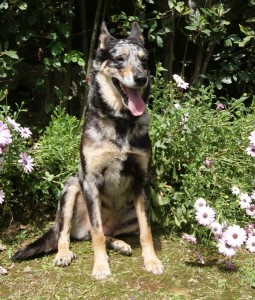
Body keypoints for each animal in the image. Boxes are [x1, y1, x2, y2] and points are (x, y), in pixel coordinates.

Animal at [11, 21, 163, 282]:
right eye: (119, 59)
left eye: (144, 60)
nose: (141, 78)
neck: (120, 121)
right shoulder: (90, 180)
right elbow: (98, 234)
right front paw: (101, 266)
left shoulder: (142, 181)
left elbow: (147, 231)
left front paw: (151, 260)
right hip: (72, 188)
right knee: (70, 233)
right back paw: (64, 254)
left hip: (130, 213)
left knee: (102, 232)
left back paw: (120, 243)